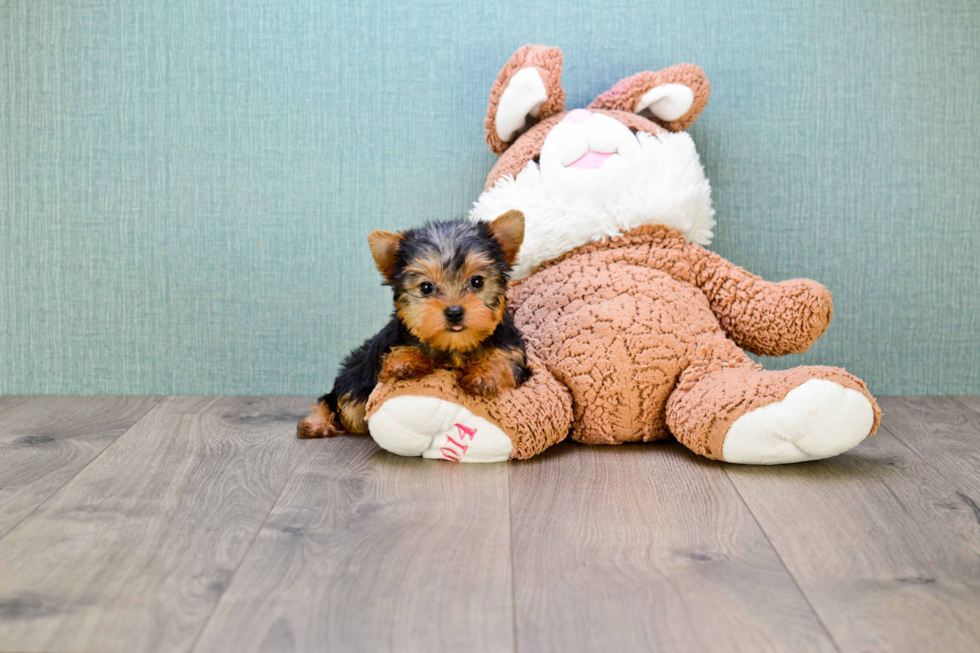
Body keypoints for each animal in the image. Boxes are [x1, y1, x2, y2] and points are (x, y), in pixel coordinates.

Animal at [296, 211, 528, 438]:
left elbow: (504, 359)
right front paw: (407, 361)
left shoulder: (511, 346)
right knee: (335, 401)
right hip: (354, 375)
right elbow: (401, 351)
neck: (453, 344)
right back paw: (316, 423)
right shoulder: (390, 344)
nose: (454, 312)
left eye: (477, 281)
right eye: (426, 287)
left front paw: (483, 375)